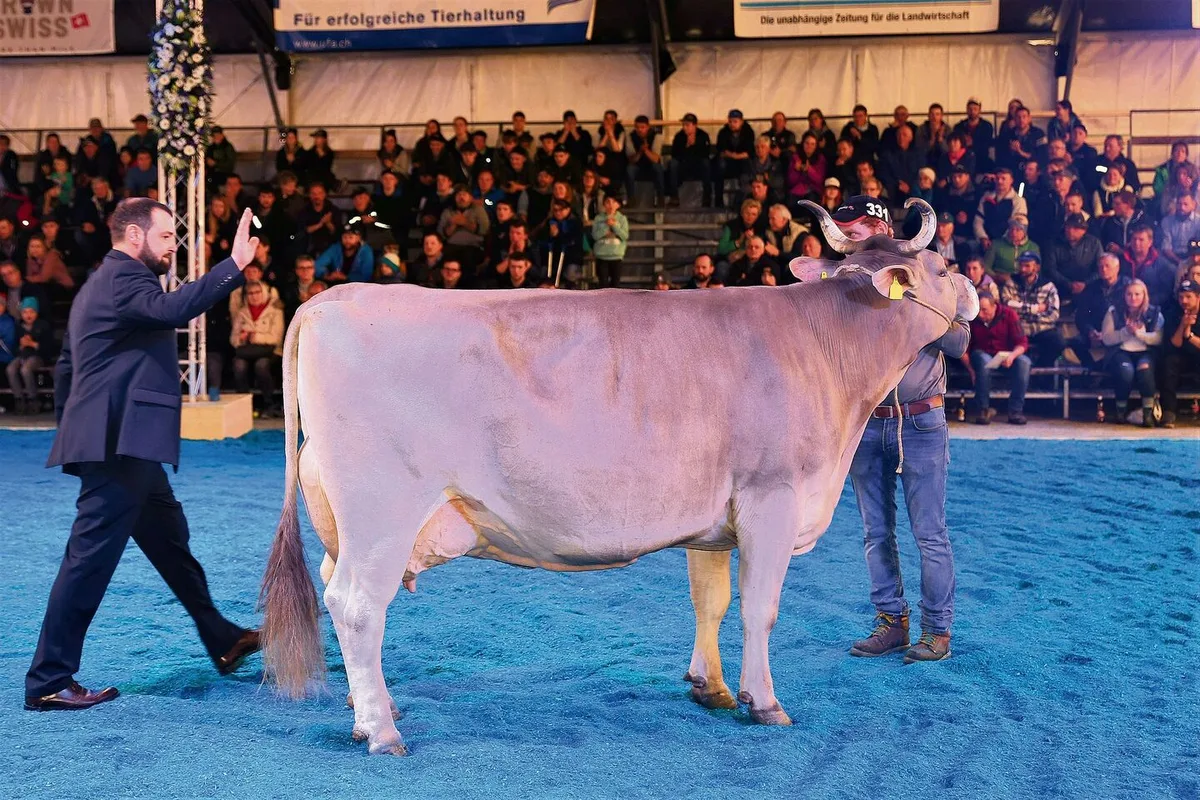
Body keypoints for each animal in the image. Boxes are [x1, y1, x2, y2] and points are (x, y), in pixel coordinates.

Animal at [259, 199, 979, 755]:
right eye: (944, 265)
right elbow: (760, 608)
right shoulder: (771, 497)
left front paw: (712, 688)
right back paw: (382, 732)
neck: (828, 347)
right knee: (357, 604)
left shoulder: (714, 519)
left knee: (334, 585)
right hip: (383, 507)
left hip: (344, 514)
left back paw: (369, 712)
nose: (977, 292)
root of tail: (333, 298)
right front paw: (765, 701)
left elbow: (711, 600)